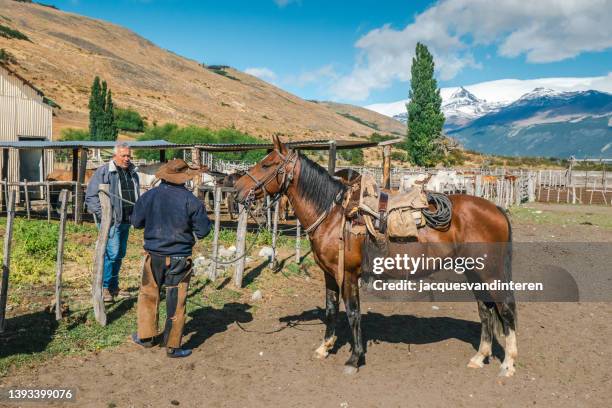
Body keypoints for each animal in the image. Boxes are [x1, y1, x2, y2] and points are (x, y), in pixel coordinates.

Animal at [234, 136, 516, 376]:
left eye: (266, 164)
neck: (334, 215)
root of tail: (496, 209)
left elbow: (353, 313)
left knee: (505, 308)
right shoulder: (330, 274)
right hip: (473, 270)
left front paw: (354, 358)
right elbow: (331, 310)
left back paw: (508, 363)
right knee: (485, 309)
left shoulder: (348, 275)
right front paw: (325, 347)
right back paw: (480, 356)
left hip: (489, 273)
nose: (236, 189)